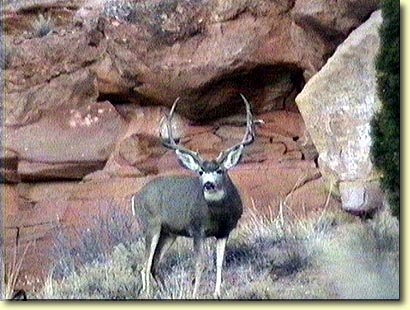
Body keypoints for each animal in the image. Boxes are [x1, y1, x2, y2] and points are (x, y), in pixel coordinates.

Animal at [131, 94, 258, 298]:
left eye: (220, 170)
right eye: (200, 171)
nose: (208, 184)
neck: (218, 215)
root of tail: (135, 197)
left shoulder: (224, 232)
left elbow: (219, 263)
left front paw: (217, 293)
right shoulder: (197, 229)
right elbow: (199, 264)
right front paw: (195, 293)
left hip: (169, 233)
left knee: (154, 264)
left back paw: (165, 292)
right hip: (150, 225)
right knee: (145, 264)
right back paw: (148, 294)